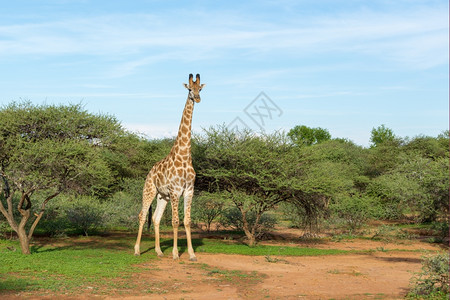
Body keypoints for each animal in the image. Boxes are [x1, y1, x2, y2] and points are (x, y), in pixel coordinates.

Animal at [133, 72, 205, 260]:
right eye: (189, 89)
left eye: (200, 89)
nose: (198, 98)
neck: (184, 155)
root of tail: (149, 172)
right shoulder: (175, 191)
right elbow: (175, 221)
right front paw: (175, 253)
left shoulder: (189, 190)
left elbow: (187, 221)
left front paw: (192, 254)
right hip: (149, 190)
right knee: (142, 215)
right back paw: (136, 250)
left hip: (162, 196)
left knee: (156, 218)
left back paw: (158, 251)